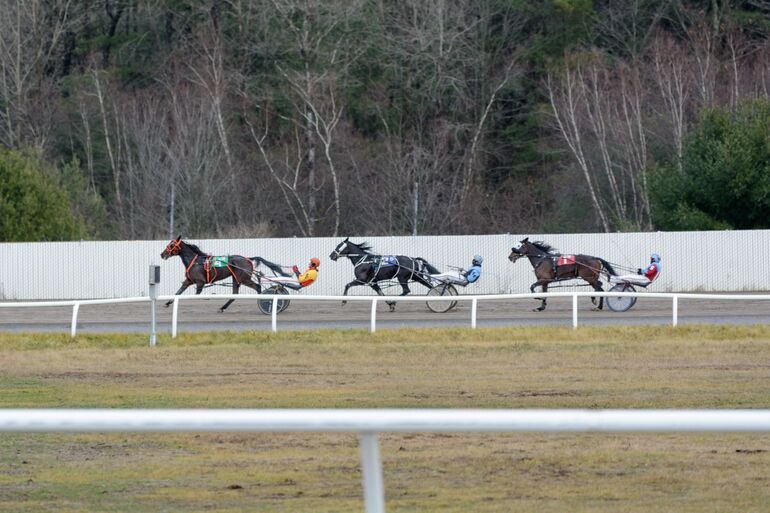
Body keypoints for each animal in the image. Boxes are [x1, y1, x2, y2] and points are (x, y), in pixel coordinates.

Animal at [159, 236, 288, 312]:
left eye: (171, 245)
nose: (162, 254)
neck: (195, 261)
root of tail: (247, 259)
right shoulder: (188, 281)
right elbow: (178, 293)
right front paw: (167, 303)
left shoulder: (200, 283)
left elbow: (193, 295)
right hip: (236, 279)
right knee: (235, 294)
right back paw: (222, 307)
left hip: (244, 278)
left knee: (257, 286)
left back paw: (265, 300)